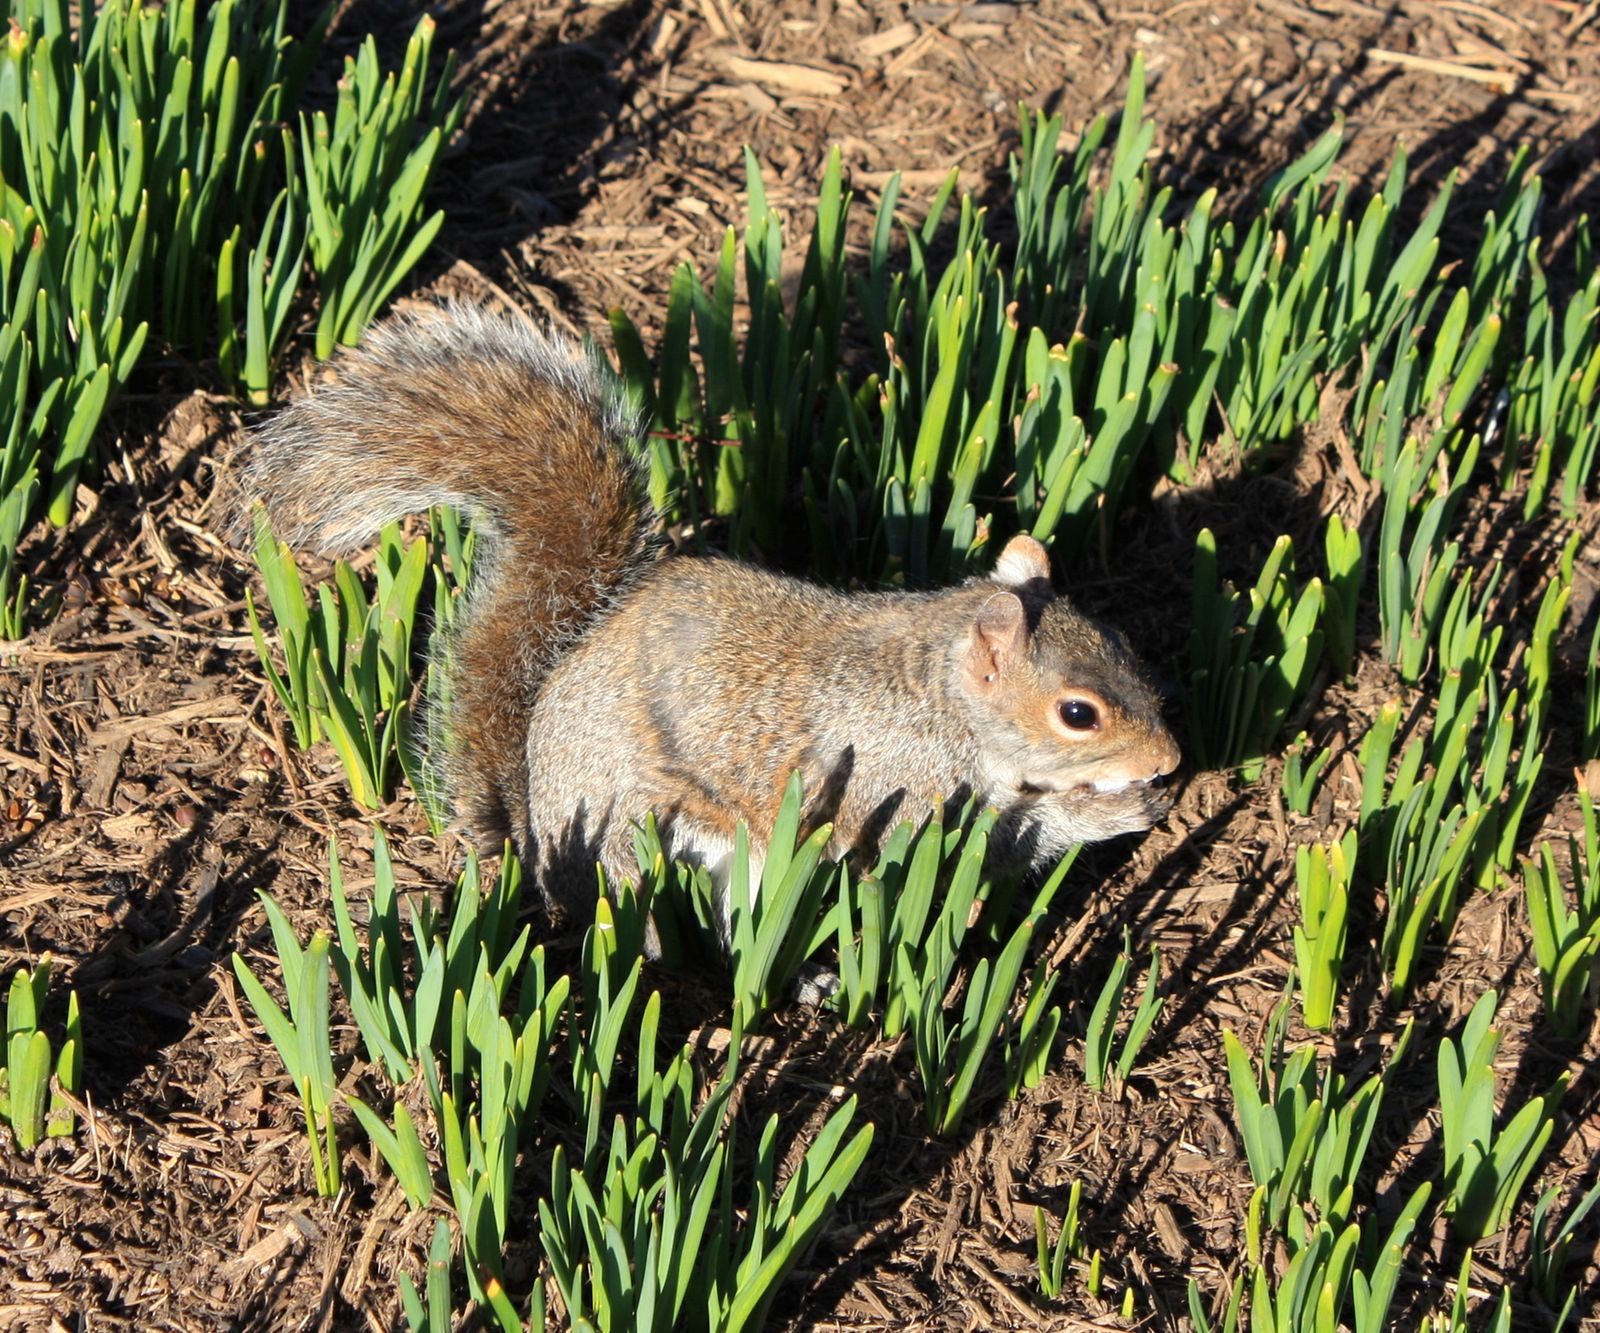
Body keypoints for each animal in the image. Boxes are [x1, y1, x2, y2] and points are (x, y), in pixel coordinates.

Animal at [237, 306, 1180, 919]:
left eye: (1124, 641)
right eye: (1078, 713)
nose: (1170, 758)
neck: (940, 695)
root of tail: (535, 828)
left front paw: (1125, 806)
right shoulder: (894, 780)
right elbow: (946, 853)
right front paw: (1113, 806)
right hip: (657, 833)